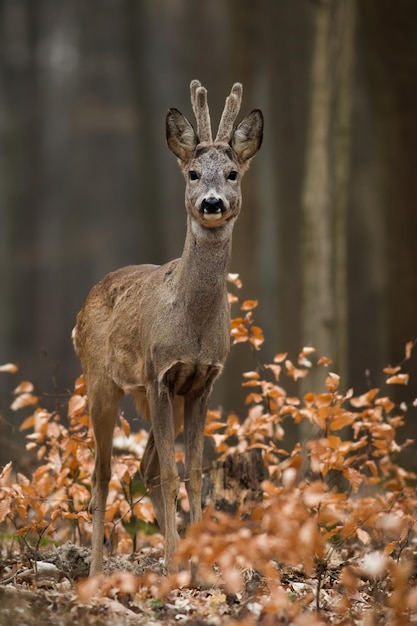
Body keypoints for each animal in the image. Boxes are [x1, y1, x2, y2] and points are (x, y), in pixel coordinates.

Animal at [71, 80, 260, 576]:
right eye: (192, 173)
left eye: (232, 173)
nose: (211, 203)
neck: (192, 327)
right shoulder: (159, 373)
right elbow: (175, 475)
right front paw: (175, 567)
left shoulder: (201, 381)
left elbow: (191, 474)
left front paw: (199, 568)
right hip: (101, 383)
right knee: (101, 475)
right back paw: (96, 572)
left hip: (155, 398)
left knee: (145, 469)